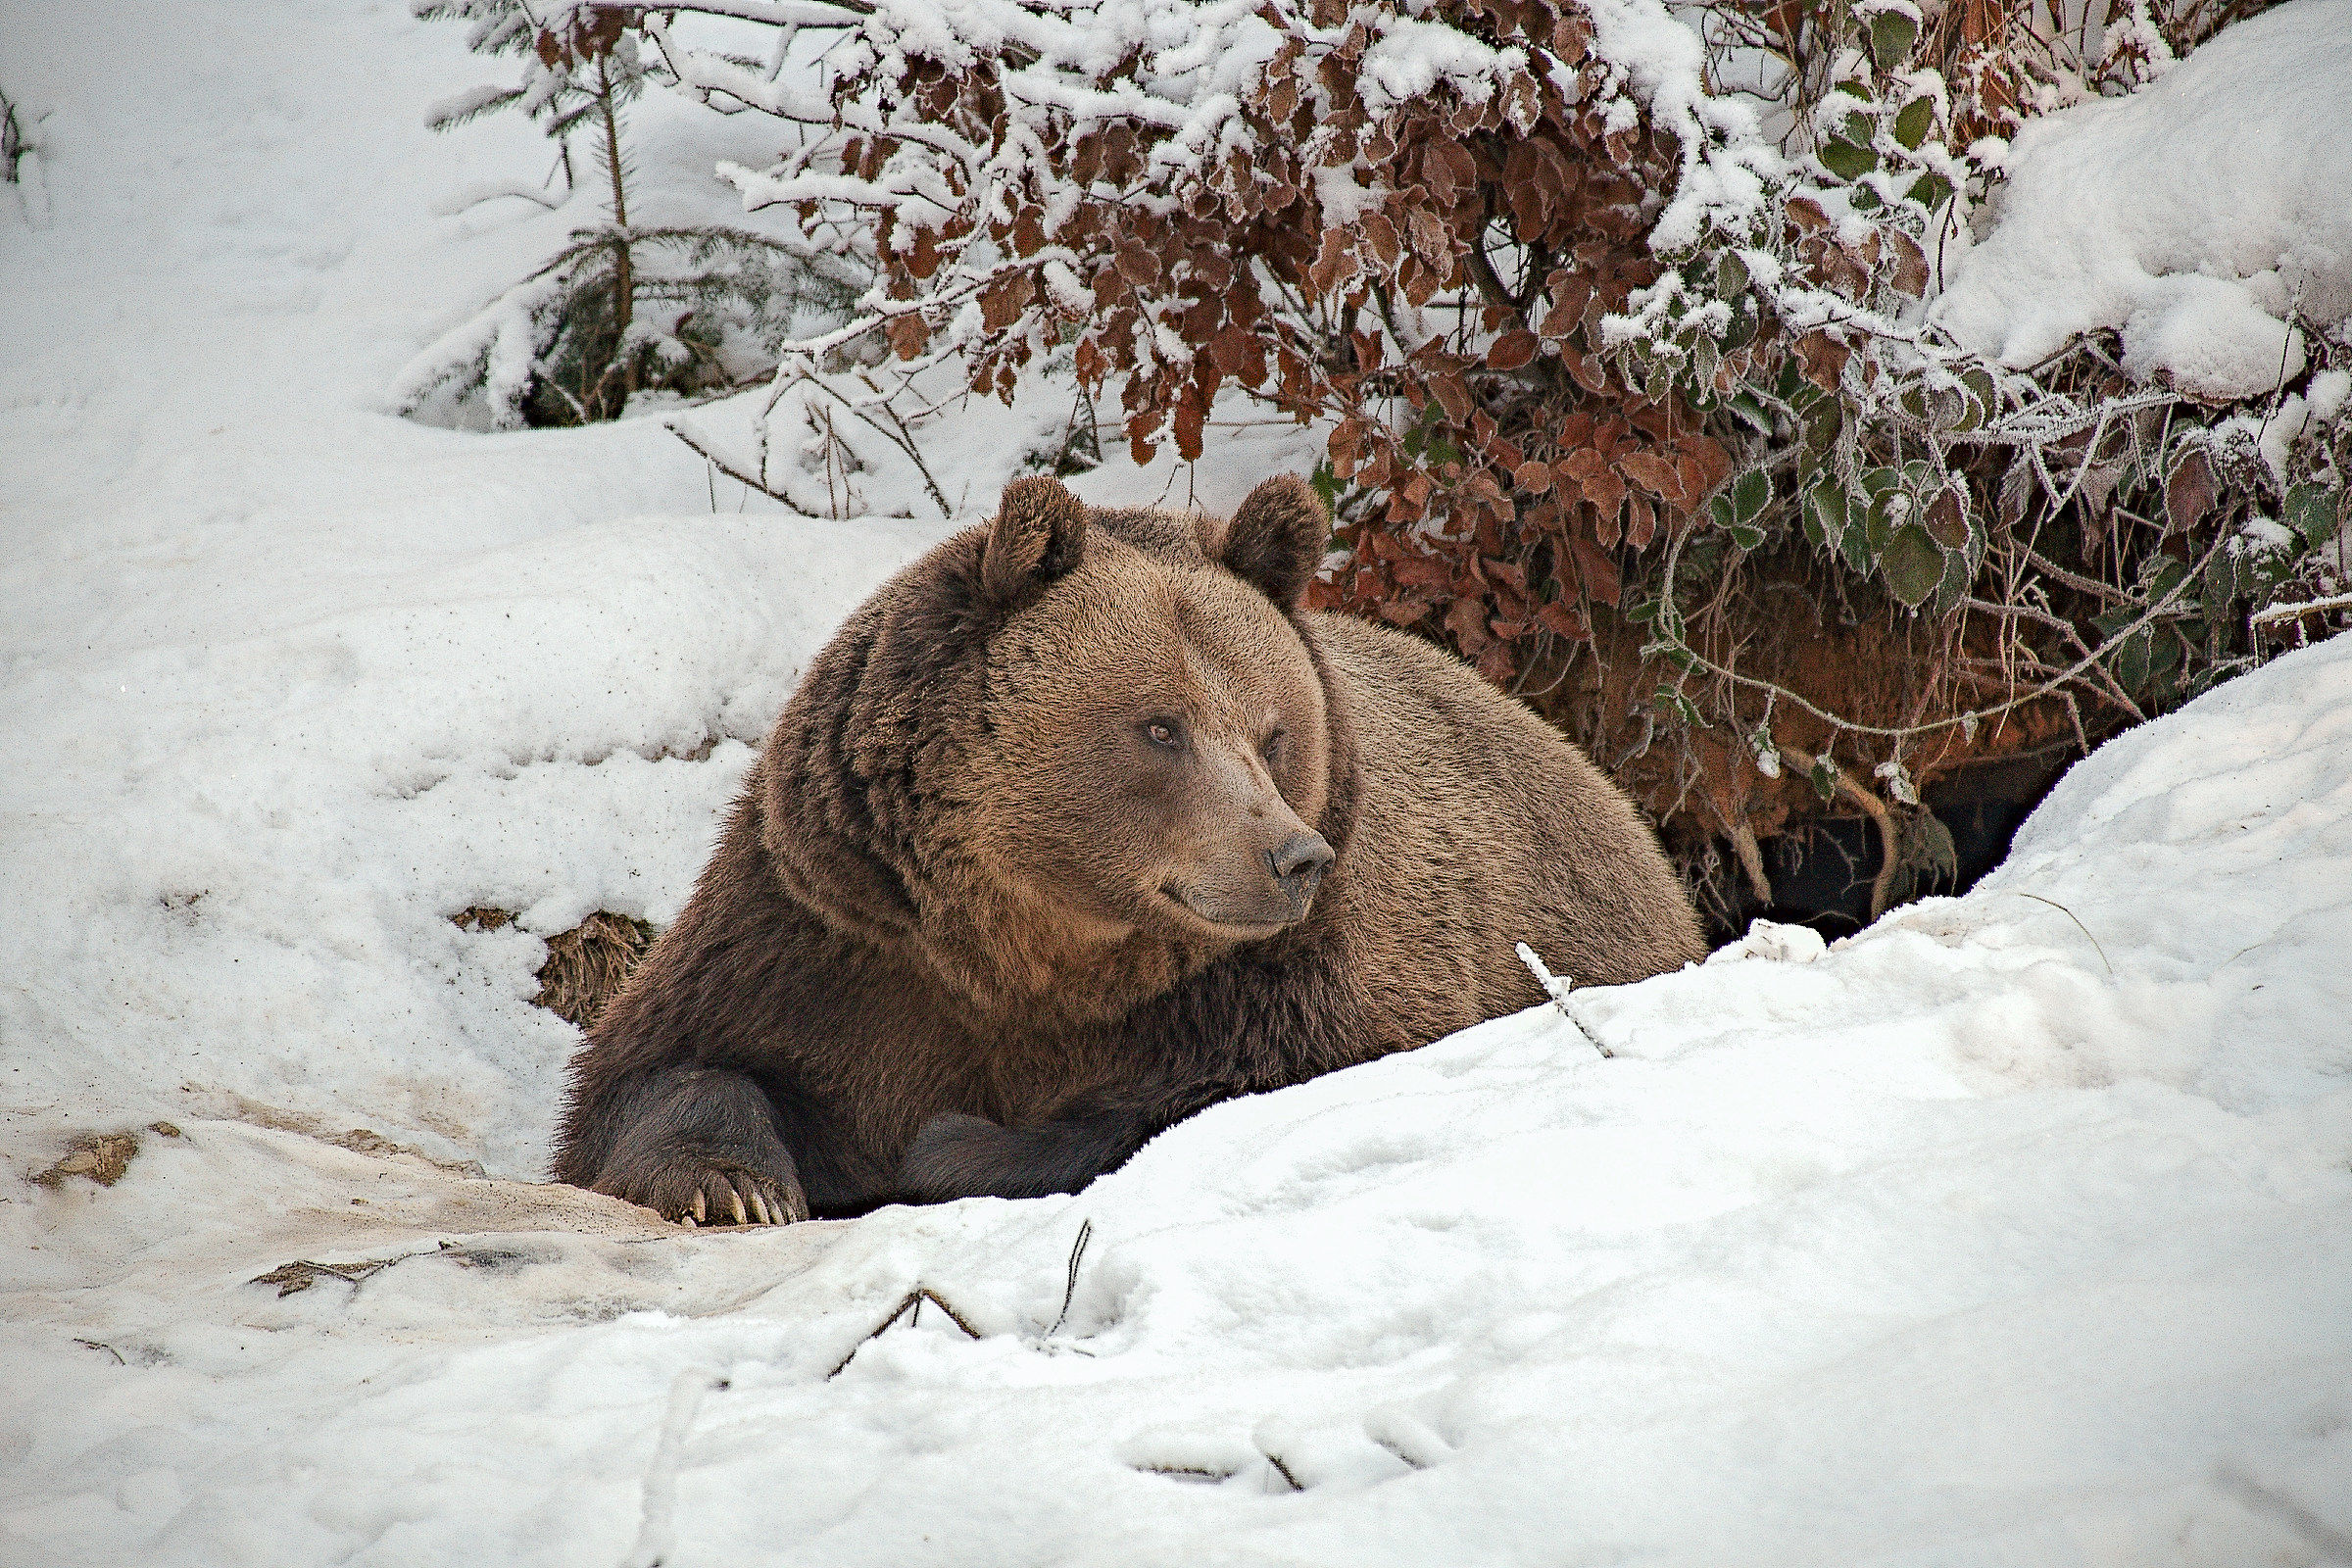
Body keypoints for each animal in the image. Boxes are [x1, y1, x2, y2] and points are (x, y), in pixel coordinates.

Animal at [551, 473, 1704, 1225]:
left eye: (1271, 730)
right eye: (1161, 726)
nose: (1294, 858)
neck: (1027, 945)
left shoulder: (1276, 988)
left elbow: (1177, 1105)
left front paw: (946, 1144)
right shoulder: (836, 936)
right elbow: (660, 1065)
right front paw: (737, 1184)